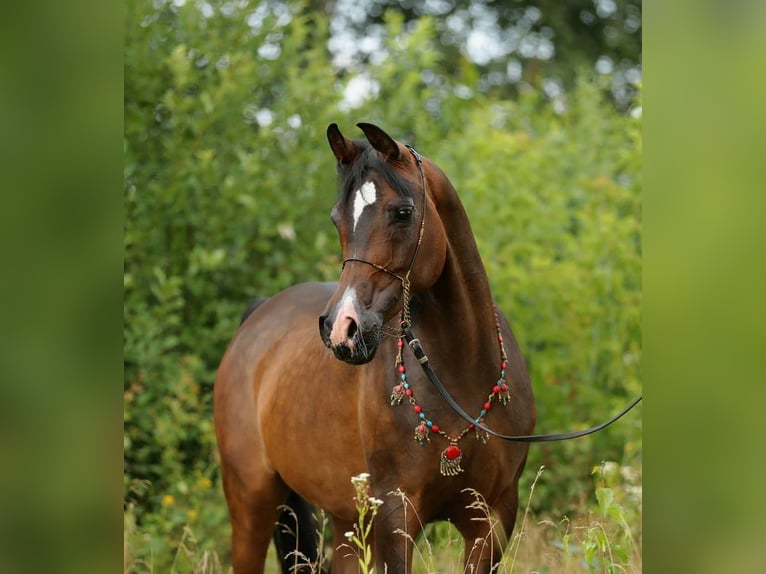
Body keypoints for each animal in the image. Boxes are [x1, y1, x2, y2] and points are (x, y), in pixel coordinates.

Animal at [213, 124, 536, 572]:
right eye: (337, 218)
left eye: (402, 213)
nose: (341, 328)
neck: (461, 377)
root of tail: (258, 316)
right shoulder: (394, 517)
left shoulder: (492, 519)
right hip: (252, 503)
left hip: (345, 517)